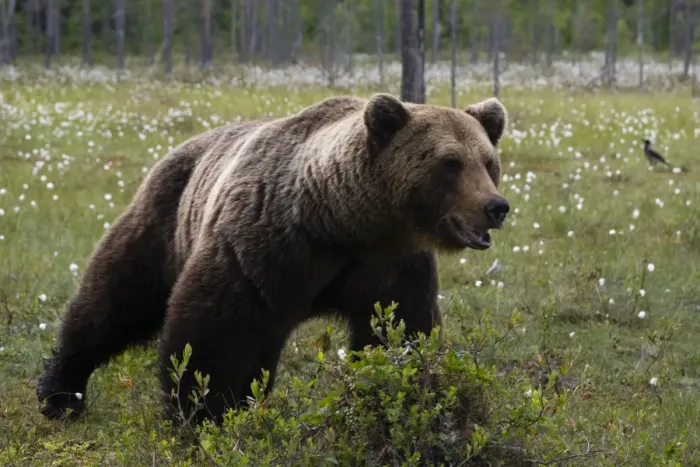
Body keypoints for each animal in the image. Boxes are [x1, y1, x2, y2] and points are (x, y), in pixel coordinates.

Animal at [36, 93, 511, 426]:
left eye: (489, 161)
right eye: (450, 163)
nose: (496, 207)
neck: (345, 220)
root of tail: (178, 149)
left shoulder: (391, 265)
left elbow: (400, 332)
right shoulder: (265, 246)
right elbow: (211, 332)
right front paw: (201, 414)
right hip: (163, 221)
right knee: (113, 298)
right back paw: (59, 393)